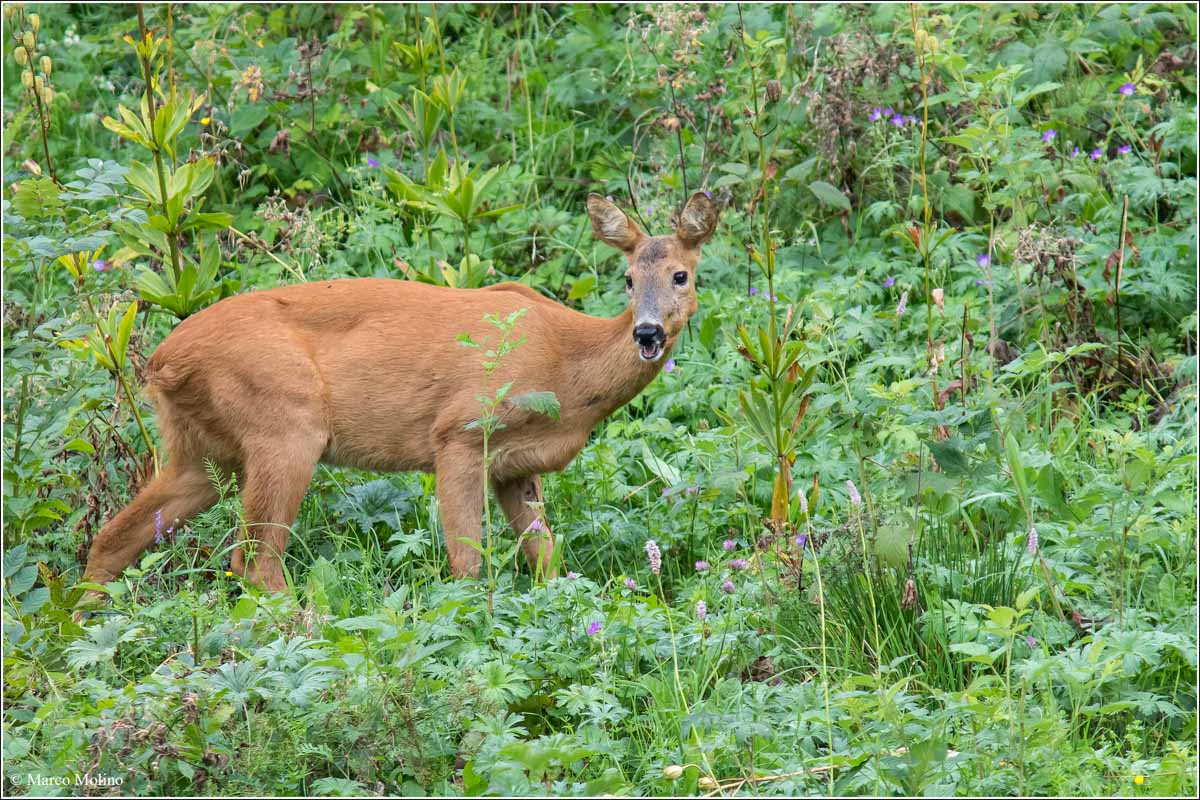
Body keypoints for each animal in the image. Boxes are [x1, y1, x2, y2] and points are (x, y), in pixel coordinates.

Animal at [84, 190, 720, 592]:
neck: (568, 371)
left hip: (200, 450)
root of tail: (160, 362)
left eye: (681, 275)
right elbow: (467, 563)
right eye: (628, 279)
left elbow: (546, 559)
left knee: (112, 537)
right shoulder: (459, 433)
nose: (647, 332)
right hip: (284, 424)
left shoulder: (515, 467)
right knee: (255, 562)